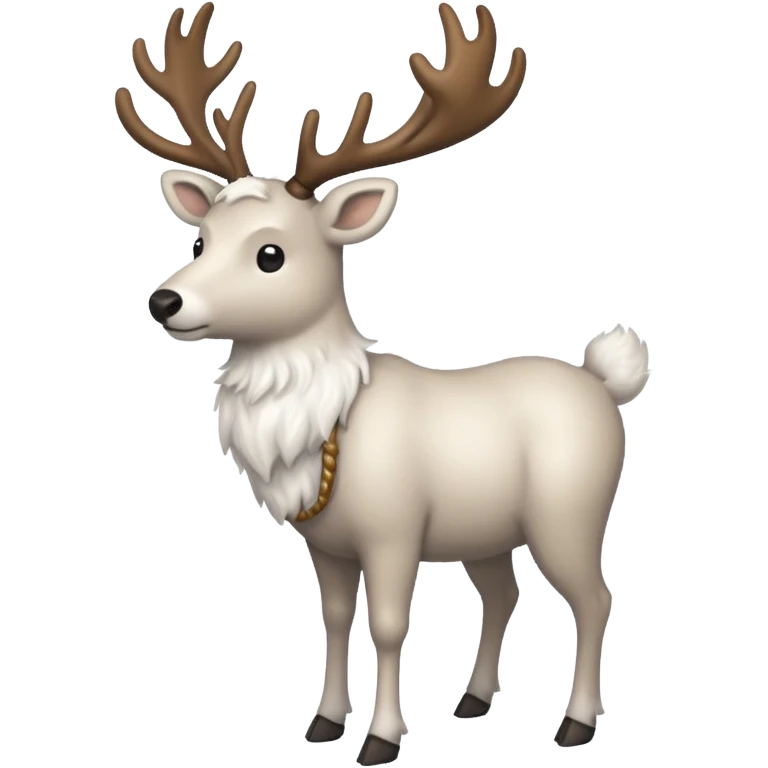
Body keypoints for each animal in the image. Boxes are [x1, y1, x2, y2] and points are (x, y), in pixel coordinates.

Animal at [116, 2, 651, 763]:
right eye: (202, 238)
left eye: (271, 253)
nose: (165, 301)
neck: (323, 425)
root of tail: (606, 385)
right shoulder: (327, 542)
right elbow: (337, 618)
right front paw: (323, 722)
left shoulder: (395, 529)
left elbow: (393, 624)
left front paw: (382, 739)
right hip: (485, 530)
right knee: (503, 594)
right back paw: (473, 700)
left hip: (570, 512)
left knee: (595, 598)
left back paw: (574, 724)